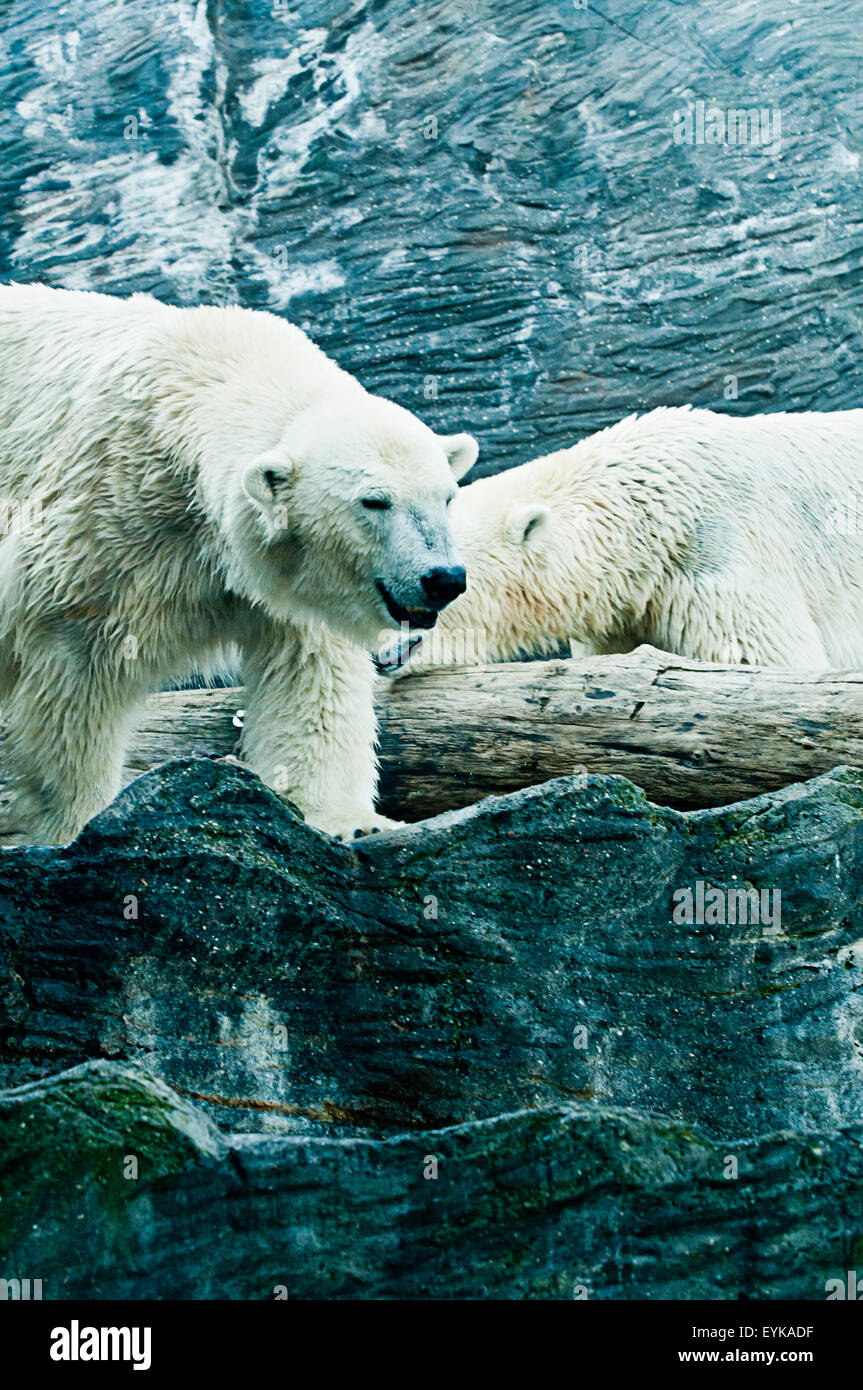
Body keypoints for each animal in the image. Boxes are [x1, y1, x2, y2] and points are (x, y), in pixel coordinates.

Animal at [0, 283, 477, 845]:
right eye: (374, 502)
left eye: (447, 496)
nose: (443, 579)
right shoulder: (104, 524)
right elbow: (76, 672)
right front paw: (72, 824)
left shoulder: (288, 579)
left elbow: (311, 674)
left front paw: (349, 821)